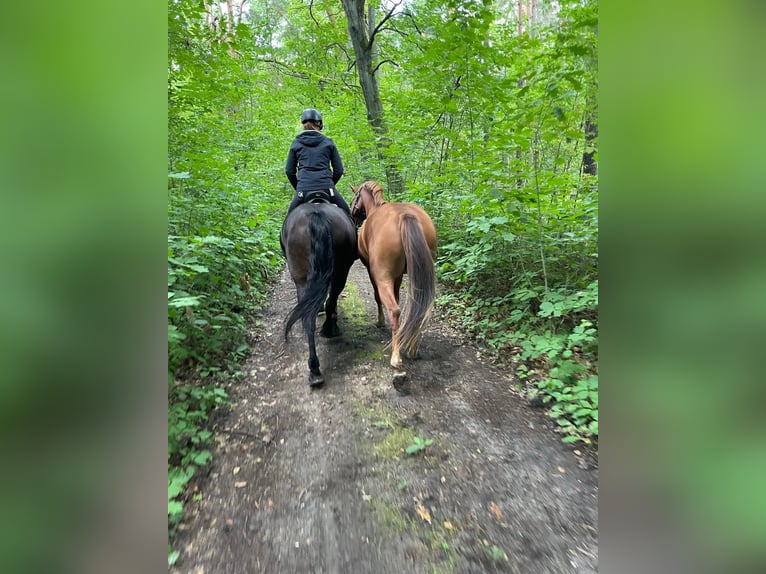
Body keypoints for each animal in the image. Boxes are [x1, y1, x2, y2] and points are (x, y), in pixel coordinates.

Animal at [349, 181, 437, 375]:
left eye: (355, 197)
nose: (353, 216)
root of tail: (405, 214)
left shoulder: (373, 272)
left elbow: (377, 297)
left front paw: (381, 322)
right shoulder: (397, 277)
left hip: (383, 278)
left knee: (395, 310)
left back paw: (396, 358)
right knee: (419, 306)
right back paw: (412, 349)